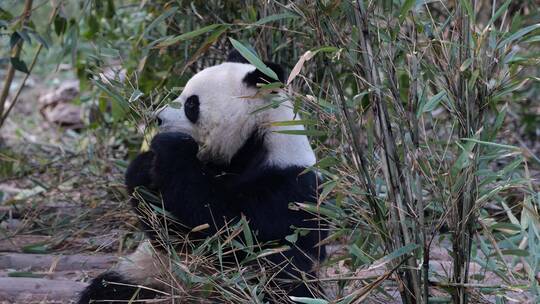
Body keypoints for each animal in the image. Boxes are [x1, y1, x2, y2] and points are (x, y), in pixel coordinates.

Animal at [78, 51, 326, 302]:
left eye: (191, 104)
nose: (157, 119)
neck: (254, 139)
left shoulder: (286, 186)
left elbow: (229, 229)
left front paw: (170, 148)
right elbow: (170, 230)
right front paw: (146, 165)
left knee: (283, 273)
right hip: (148, 271)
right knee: (109, 289)